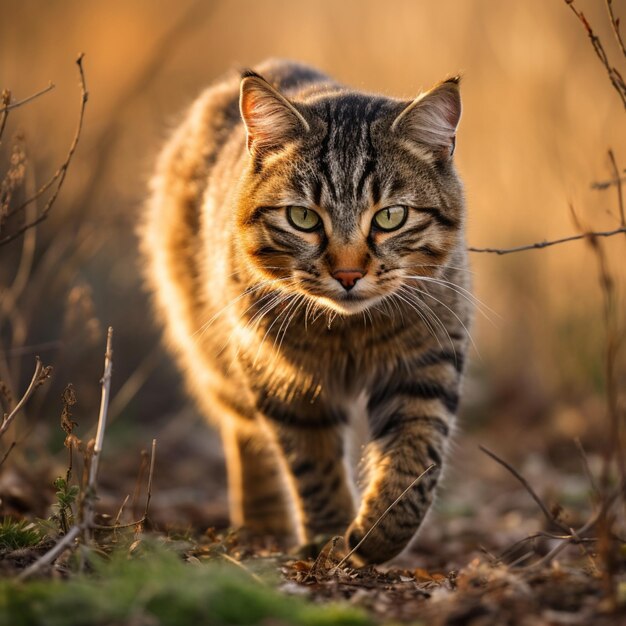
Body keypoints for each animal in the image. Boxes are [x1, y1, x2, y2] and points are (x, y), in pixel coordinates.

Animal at [141, 58, 470, 564]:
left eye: (390, 217)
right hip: (215, 352)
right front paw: (328, 537)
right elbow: (314, 467)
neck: (349, 330)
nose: (349, 274)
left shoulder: (425, 361)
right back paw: (261, 526)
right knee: (243, 432)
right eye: (304, 218)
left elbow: (414, 462)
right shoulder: (282, 377)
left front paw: (375, 535)